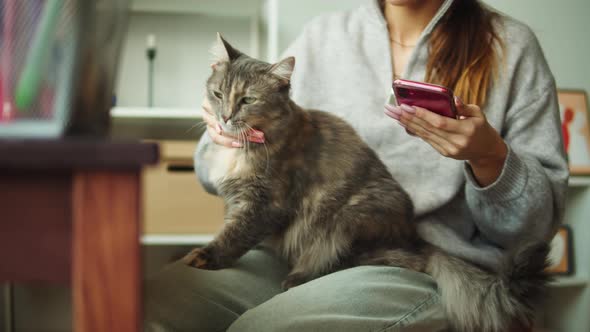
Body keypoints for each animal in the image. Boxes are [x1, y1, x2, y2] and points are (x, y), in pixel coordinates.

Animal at [184, 34, 552, 332]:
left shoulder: (265, 202)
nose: (224, 117)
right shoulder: (239, 197)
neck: (248, 143)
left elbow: (235, 235)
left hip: (347, 219)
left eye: (248, 100)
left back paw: (298, 278)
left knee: (365, 261)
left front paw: (203, 257)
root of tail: (414, 240)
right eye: (217, 94)